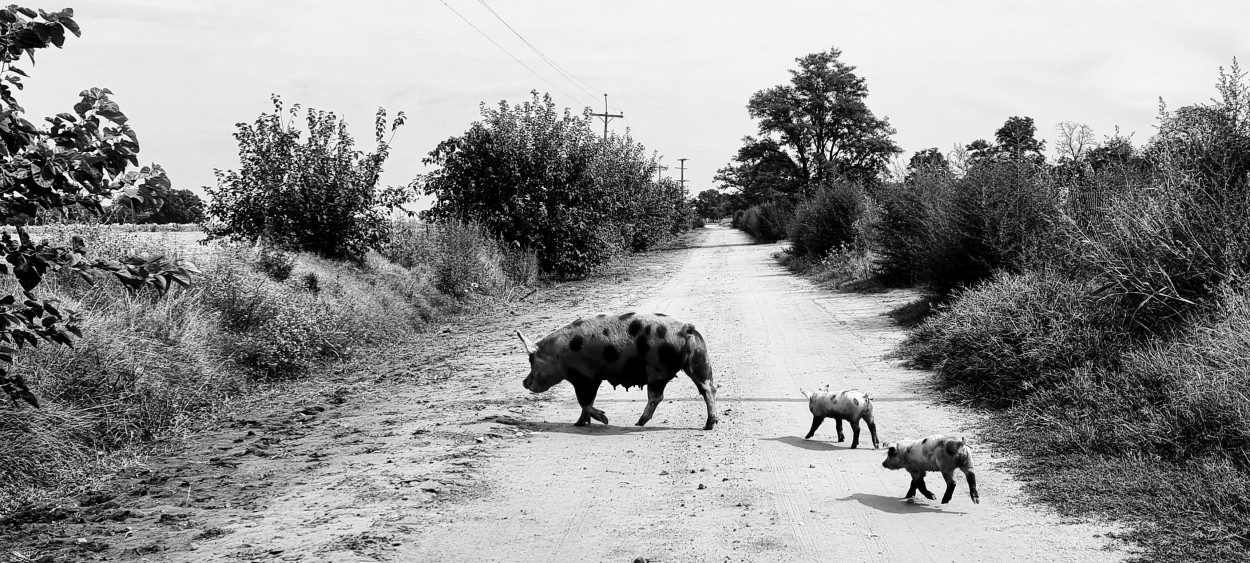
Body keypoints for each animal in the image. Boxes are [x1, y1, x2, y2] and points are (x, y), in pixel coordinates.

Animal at [512, 312, 720, 430]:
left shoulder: (585, 376)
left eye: (531, 359)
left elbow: (584, 401)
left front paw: (604, 419)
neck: (559, 355)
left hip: (658, 369)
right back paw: (709, 425)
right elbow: (586, 403)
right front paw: (579, 423)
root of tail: (687, 330)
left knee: (657, 396)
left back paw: (638, 423)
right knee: (709, 388)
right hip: (698, 362)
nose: (524, 382)